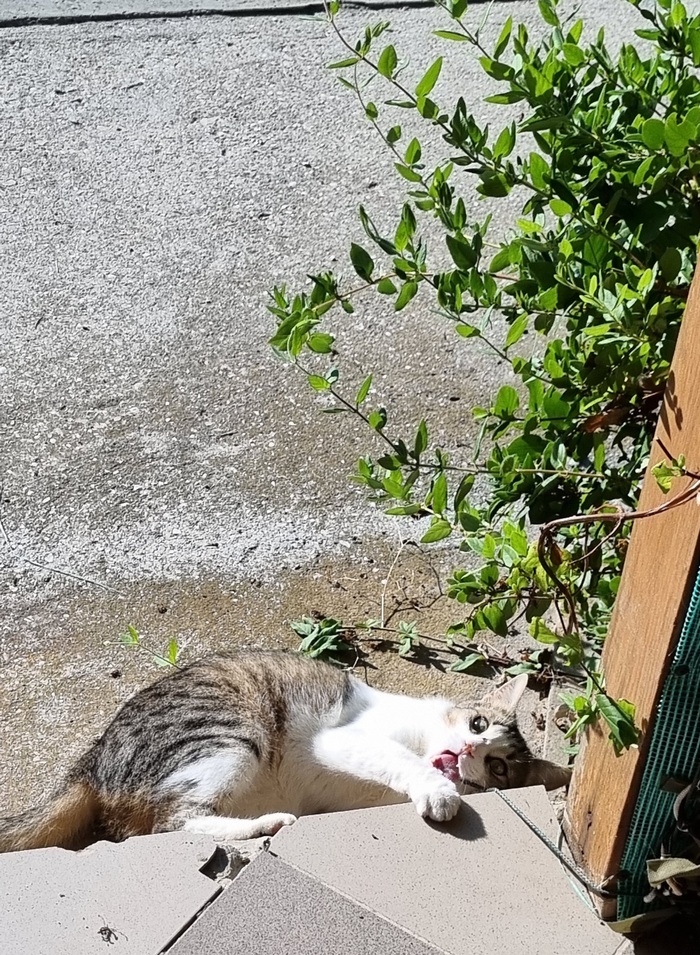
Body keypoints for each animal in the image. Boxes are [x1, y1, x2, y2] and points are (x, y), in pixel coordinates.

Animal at [0, 650, 570, 852]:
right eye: (477, 723)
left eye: (499, 766)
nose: (468, 749)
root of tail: (91, 761)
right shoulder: (342, 737)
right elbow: (402, 761)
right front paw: (437, 791)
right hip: (232, 737)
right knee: (166, 822)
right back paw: (265, 825)